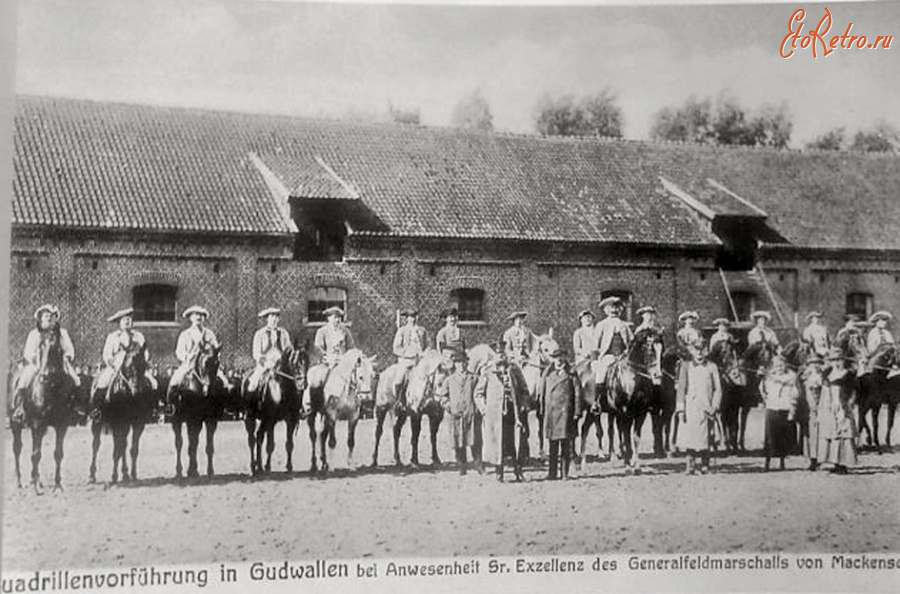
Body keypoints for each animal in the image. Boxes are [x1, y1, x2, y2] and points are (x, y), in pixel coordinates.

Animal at [7, 328, 77, 490]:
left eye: (55, 347)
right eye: (40, 347)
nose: (44, 376)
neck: (52, 388)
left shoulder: (61, 425)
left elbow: (58, 453)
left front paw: (57, 484)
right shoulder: (37, 423)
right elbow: (36, 455)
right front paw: (38, 487)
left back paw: (34, 478)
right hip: (16, 424)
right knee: (17, 448)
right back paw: (20, 481)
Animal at [89, 340, 156, 484]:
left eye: (143, 365)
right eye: (128, 366)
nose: (137, 390)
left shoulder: (138, 424)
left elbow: (132, 449)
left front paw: (133, 474)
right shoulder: (116, 423)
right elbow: (116, 450)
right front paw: (114, 476)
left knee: (123, 445)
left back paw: (125, 473)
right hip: (97, 421)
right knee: (96, 445)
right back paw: (92, 475)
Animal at [168, 346, 229, 476]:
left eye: (217, 363)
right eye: (205, 363)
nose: (209, 389)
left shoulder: (211, 420)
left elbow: (208, 446)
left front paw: (210, 470)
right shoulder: (192, 419)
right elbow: (191, 443)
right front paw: (191, 470)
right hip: (177, 419)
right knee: (179, 443)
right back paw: (180, 470)